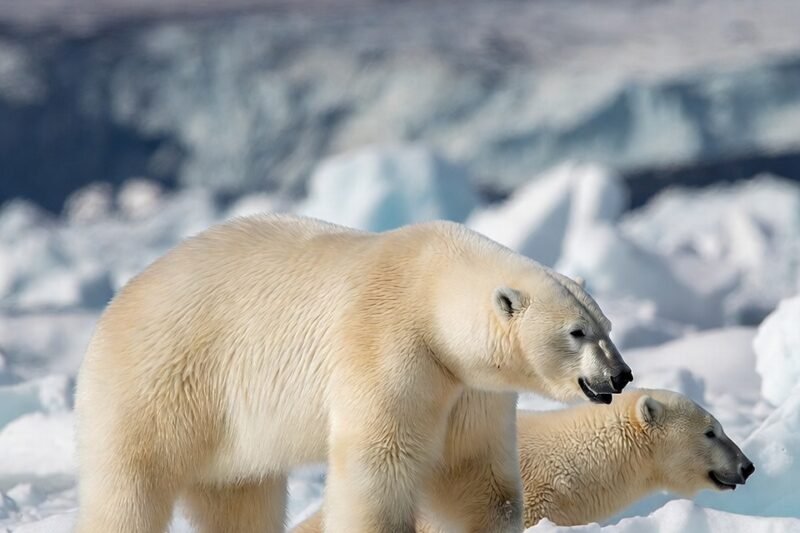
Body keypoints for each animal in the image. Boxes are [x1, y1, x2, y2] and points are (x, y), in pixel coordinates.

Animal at [74, 214, 632, 533]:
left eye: (607, 326)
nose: (621, 375)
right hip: (162, 379)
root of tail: (118, 302)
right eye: (577, 332)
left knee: (240, 498)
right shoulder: (389, 346)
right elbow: (380, 464)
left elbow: (475, 475)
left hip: (230, 430)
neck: (428, 288)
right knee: (131, 485)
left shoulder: (468, 388)